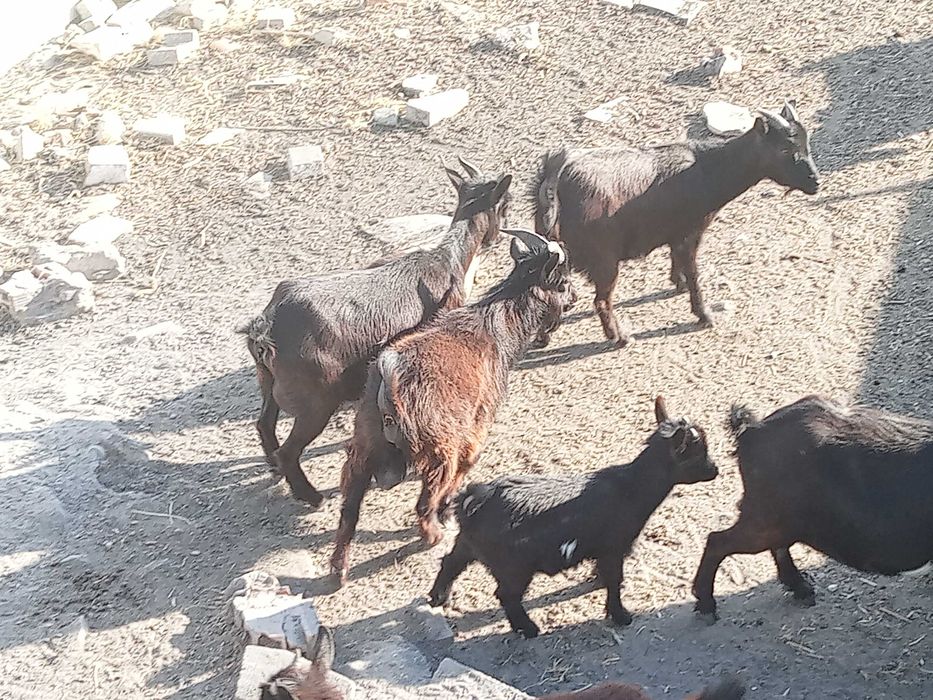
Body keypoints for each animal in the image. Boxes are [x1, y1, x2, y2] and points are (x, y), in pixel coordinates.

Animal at [240, 158, 512, 507]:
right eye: (505, 204)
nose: (499, 236)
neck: (446, 260)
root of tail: (267, 325)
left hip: (269, 382)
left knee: (264, 424)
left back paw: (274, 467)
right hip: (316, 403)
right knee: (290, 449)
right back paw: (311, 496)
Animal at [330, 230, 578, 584]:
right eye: (562, 282)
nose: (575, 297)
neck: (495, 329)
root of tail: (390, 374)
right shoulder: (474, 431)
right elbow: (463, 471)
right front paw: (448, 511)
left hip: (364, 447)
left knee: (349, 509)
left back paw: (338, 569)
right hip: (439, 450)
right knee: (424, 501)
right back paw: (433, 534)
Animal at [428, 397, 719, 638]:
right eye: (698, 454)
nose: (715, 470)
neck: (631, 487)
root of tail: (475, 497)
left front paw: (598, 583)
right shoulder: (614, 546)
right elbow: (615, 580)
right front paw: (621, 615)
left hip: (467, 544)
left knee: (450, 562)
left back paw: (438, 597)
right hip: (514, 567)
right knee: (506, 594)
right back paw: (528, 628)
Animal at [532, 100, 820, 348]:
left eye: (806, 144)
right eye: (784, 149)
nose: (816, 182)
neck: (708, 168)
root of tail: (556, 180)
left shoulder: (676, 233)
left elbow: (677, 261)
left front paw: (677, 282)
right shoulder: (690, 233)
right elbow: (693, 273)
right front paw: (704, 315)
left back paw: (543, 338)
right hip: (604, 260)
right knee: (601, 301)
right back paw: (620, 337)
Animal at [693, 395, 933, 621]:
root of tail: (752, 430)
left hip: (775, 518)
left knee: (773, 547)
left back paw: (802, 590)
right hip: (764, 518)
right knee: (717, 541)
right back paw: (707, 608)